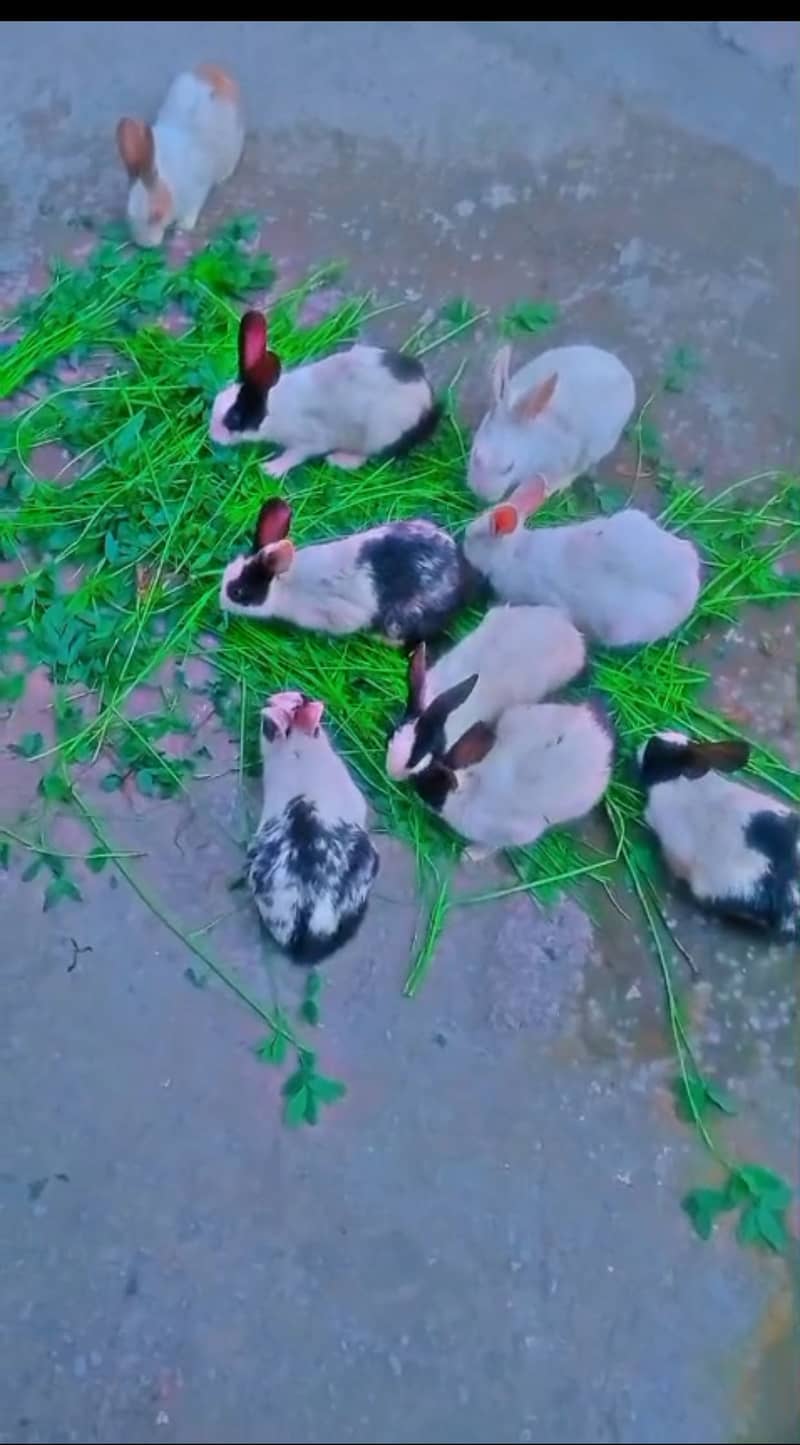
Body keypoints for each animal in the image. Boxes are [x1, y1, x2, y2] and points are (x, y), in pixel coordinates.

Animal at [116, 64, 245, 249]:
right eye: (128, 213)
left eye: (156, 215)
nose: (144, 244)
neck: (169, 183)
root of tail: (216, 69)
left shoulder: (196, 192)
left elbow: (192, 211)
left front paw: (183, 227)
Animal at [209, 310, 441, 478]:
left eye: (234, 418)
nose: (212, 436)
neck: (273, 407)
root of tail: (427, 399)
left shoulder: (309, 440)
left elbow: (295, 455)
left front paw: (271, 469)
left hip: (379, 434)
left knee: (366, 456)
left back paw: (339, 460)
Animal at [412, 700, 614, 857]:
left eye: (431, 787)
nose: (414, 790)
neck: (469, 794)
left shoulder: (513, 834)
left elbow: (493, 845)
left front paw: (470, 855)